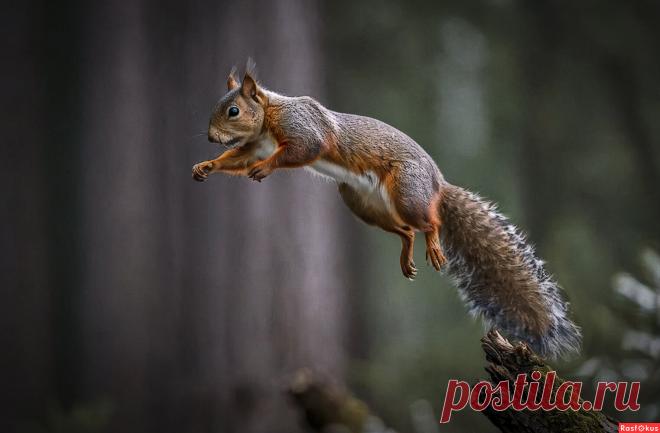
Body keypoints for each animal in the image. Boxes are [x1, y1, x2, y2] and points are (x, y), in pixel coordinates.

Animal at [192, 65, 581, 358]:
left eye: (233, 111)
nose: (209, 138)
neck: (270, 115)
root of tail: (437, 184)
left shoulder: (303, 129)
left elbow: (301, 149)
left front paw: (266, 168)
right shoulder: (255, 146)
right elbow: (236, 160)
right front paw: (206, 166)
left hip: (407, 193)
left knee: (429, 222)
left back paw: (434, 246)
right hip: (363, 204)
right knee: (406, 231)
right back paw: (407, 255)